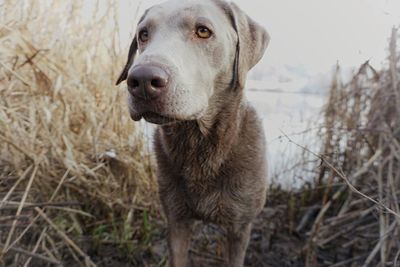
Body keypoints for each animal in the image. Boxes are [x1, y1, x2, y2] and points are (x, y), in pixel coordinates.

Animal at [115, 1, 270, 266]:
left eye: (203, 31)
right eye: (143, 34)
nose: (142, 80)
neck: (198, 145)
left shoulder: (240, 227)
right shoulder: (176, 218)